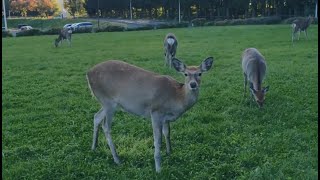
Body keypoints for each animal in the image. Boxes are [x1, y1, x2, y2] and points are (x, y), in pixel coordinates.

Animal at [86, 57, 214, 172]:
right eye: (186, 74)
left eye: (200, 73)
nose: (193, 84)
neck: (177, 98)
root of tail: (88, 73)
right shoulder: (156, 112)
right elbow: (157, 140)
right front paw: (158, 168)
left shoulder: (165, 118)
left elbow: (167, 133)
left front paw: (169, 152)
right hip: (107, 101)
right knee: (106, 126)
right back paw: (117, 159)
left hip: (108, 103)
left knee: (96, 117)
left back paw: (94, 147)